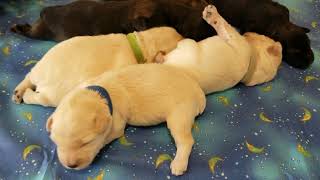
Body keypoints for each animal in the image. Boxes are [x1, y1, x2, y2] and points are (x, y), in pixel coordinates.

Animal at [45, 63, 205, 176]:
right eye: (56, 143)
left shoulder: (116, 125)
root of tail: (198, 90)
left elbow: (105, 139)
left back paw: (178, 164)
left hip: (179, 114)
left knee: (186, 141)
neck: (98, 94)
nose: (70, 165)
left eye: (87, 143)